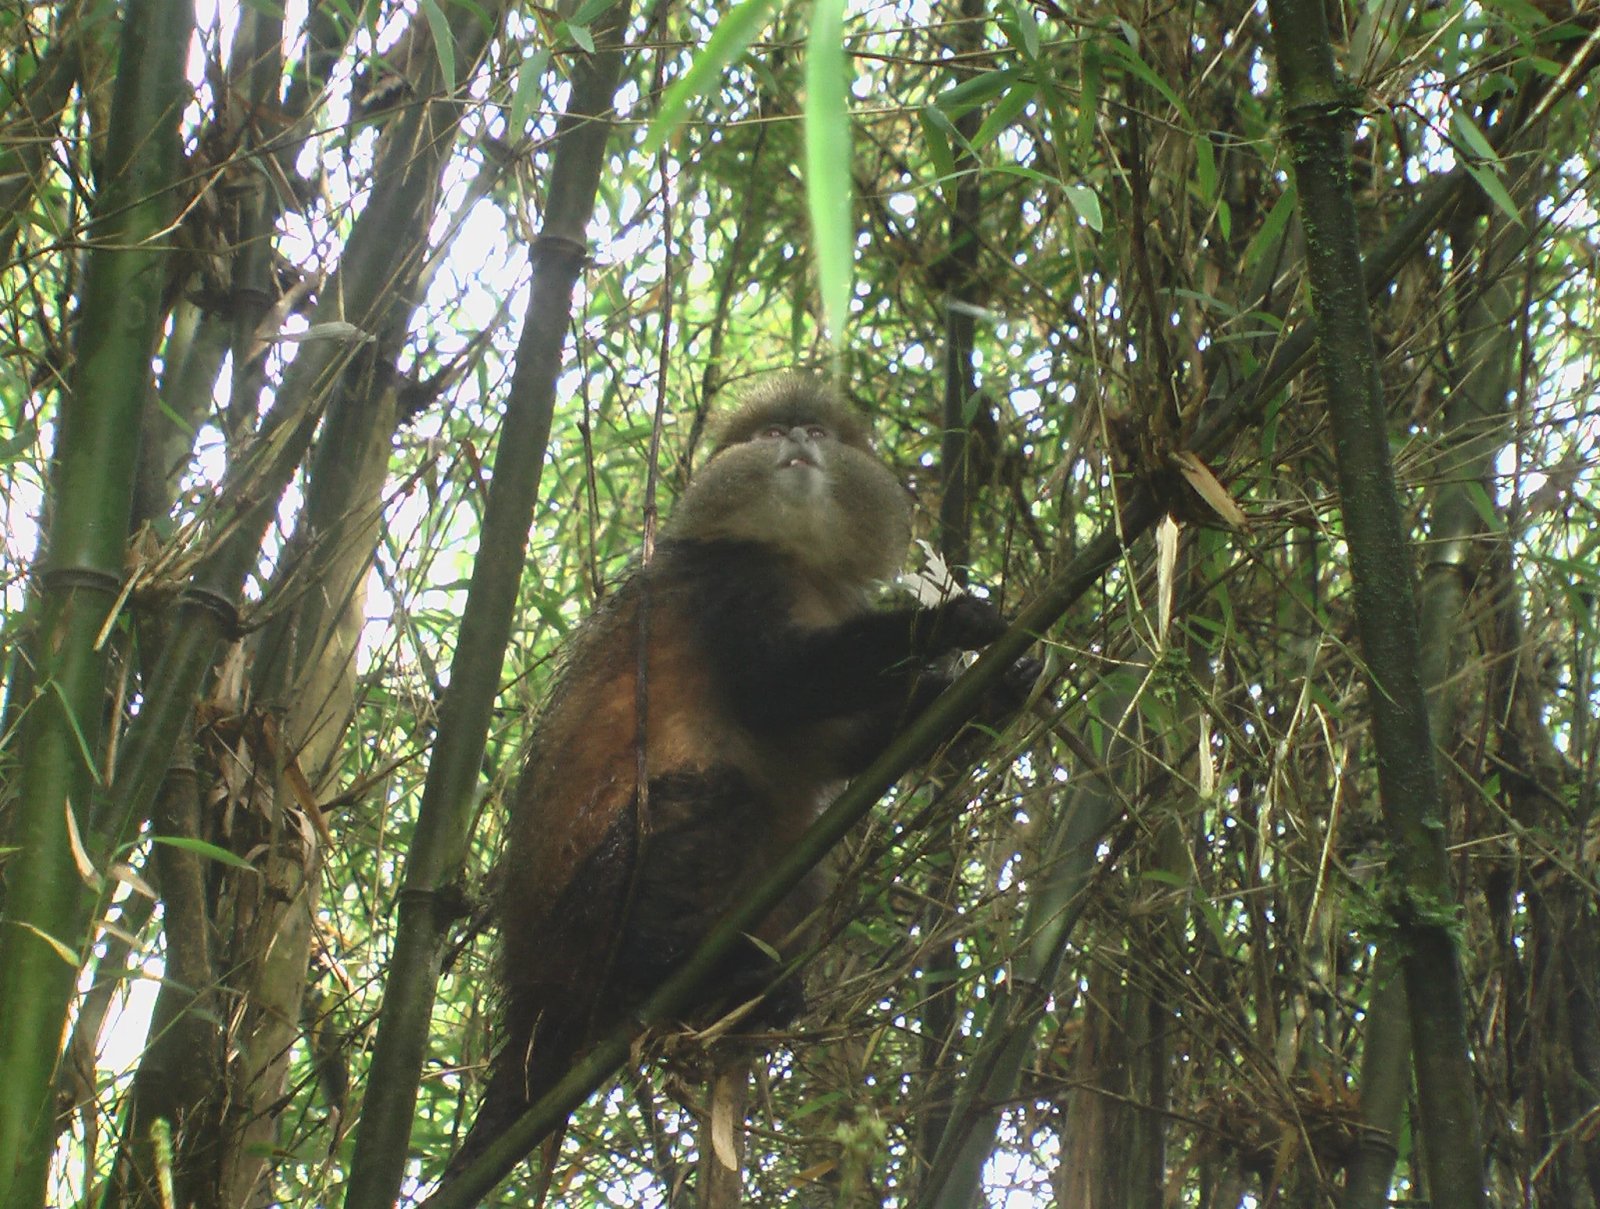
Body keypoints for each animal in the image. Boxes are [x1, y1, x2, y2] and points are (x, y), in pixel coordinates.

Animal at [442, 374, 1028, 1183]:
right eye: (770, 433)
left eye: (816, 429)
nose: (799, 439)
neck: (797, 559)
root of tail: (529, 994)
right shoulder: (730, 583)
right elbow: (773, 689)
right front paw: (946, 625)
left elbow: (838, 745)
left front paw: (995, 692)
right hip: (594, 911)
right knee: (720, 797)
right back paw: (664, 977)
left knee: (802, 871)